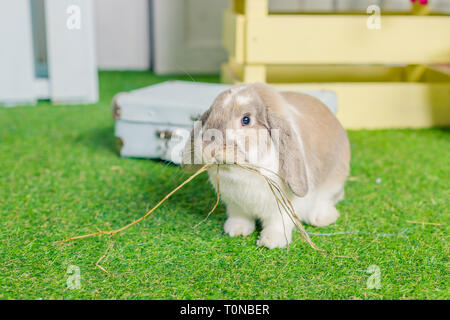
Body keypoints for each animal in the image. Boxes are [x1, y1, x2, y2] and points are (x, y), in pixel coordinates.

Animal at [181, 83, 350, 250]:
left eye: (246, 119)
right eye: (210, 116)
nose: (209, 149)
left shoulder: (283, 208)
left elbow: (279, 223)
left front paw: (272, 242)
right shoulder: (235, 204)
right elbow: (239, 216)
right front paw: (236, 230)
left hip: (333, 182)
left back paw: (322, 218)